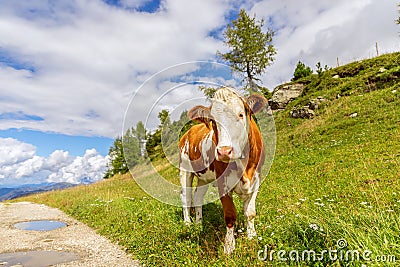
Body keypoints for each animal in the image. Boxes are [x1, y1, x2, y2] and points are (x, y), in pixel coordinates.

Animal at [180, 88, 268, 255]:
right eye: (214, 121)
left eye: (240, 115)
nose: (224, 151)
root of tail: (190, 131)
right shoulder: (223, 182)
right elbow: (230, 215)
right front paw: (229, 246)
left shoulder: (257, 178)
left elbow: (250, 212)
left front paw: (252, 236)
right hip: (184, 170)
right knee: (186, 197)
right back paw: (188, 224)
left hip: (204, 177)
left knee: (198, 196)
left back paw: (199, 223)